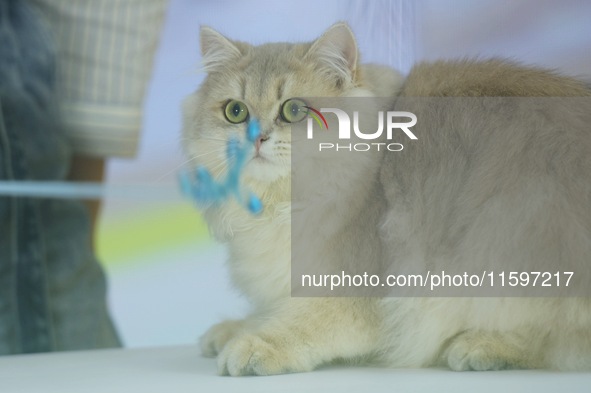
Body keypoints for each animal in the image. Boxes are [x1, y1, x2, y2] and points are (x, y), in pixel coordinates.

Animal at [184, 23, 591, 376]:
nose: (255, 138)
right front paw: (232, 329)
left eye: (293, 110)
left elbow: (298, 323)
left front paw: (252, 344)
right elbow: (268, 311)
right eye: (235, 111)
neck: (280, 205)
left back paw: (481, 346)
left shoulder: (356, 295)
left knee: (558, 342)